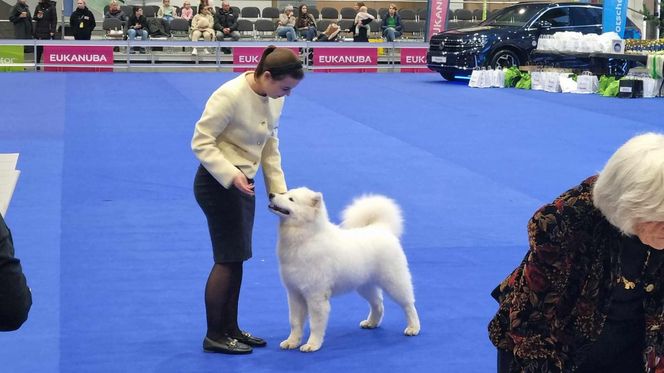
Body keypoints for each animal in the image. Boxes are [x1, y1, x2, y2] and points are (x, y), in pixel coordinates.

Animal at [266, 187, 418, 350]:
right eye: (285, 193)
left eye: (291, 199)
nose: (271, 194)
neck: (306, 238)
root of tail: (381, 228)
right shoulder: (294, 293)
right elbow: (295, 322)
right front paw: (292, 342)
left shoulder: (315, 296)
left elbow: (315, 324)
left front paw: (312, 345)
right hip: (364, 286)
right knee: (378, 303)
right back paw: (371, 323)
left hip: (394, 282)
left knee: (408, 305)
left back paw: (413, 328)